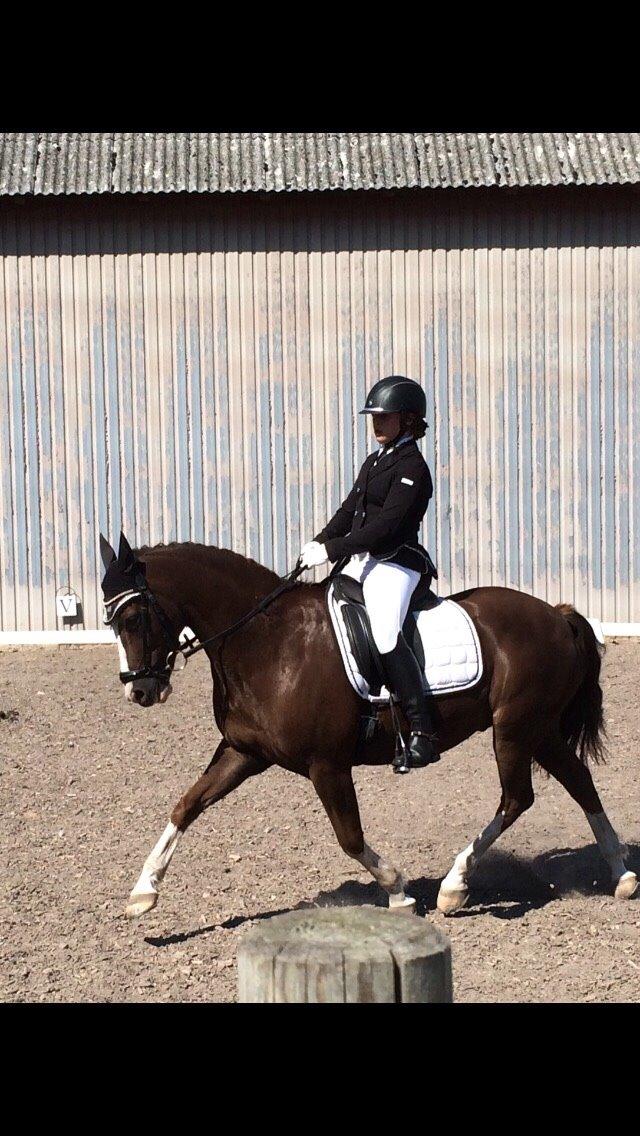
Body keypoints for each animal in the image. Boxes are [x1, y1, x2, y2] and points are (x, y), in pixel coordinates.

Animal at [99, 532, 638, 920]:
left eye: (134, 616)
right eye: (111, 620)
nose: (139, 692)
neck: (265, 640)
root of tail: (556, 615)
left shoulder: (327, 765)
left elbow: (350, 837)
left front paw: (399, 891)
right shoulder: (243, 752)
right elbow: (186, 805)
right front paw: (143, 892)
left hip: (515, 729)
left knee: (517, 798)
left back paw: (454, 886)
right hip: (539, 730)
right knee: (579, 782)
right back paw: (621, 874)